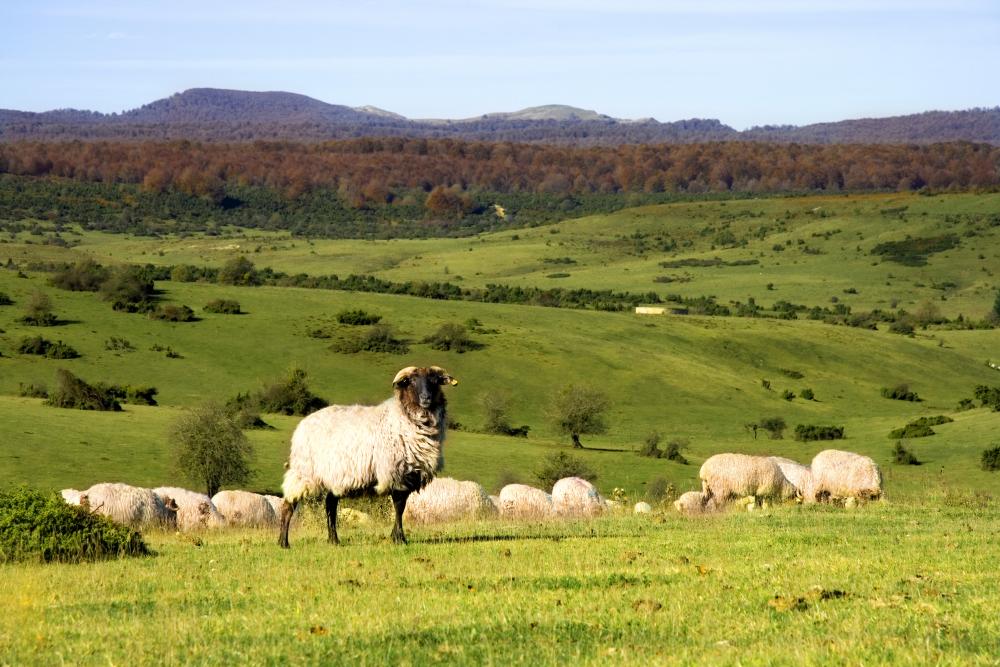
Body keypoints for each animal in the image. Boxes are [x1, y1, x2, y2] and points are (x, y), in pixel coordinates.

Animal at [279, 366, 457, 548]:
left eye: (435, 381)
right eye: (412, 381)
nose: (426, 398)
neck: (403, 417)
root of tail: (302, 424)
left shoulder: (410, 475)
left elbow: (402, 508)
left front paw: (396, 536)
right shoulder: (396, 473)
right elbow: (399, 507)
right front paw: (399, 538)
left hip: (334, 475)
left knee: (330, 505)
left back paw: (334, 540)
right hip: (304, 471)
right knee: (288, 505)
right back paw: (283, 542)